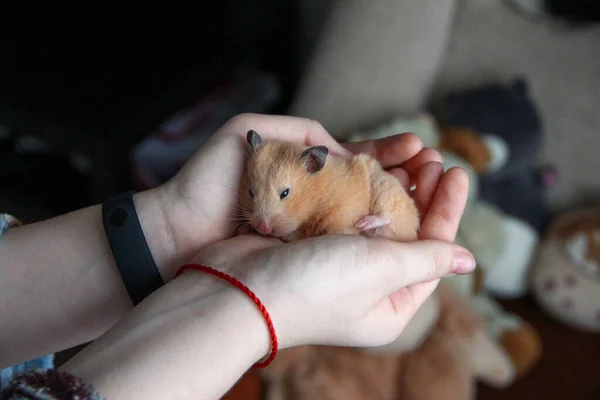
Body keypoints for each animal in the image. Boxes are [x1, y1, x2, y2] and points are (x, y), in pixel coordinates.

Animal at [237, 130, 420, 242]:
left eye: (285, 193)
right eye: (251, 192)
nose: (264, 228)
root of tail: (412, 231)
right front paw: (244, 229)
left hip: (385, 187)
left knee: (388, 215)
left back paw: (365, 223)